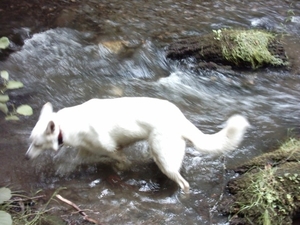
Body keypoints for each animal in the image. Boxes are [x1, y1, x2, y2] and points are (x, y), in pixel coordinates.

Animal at [26, 96, 251, 192]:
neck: (67, 125)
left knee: (184, 183)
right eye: (31, 142)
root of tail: (181, 119)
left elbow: (119, 161)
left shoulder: (111, 149)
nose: (26, 157)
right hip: (160, 154)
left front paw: (120, 168)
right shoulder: (85, 149)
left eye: (36, 144)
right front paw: (63, 171)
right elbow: (73, 161)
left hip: (164, 156)